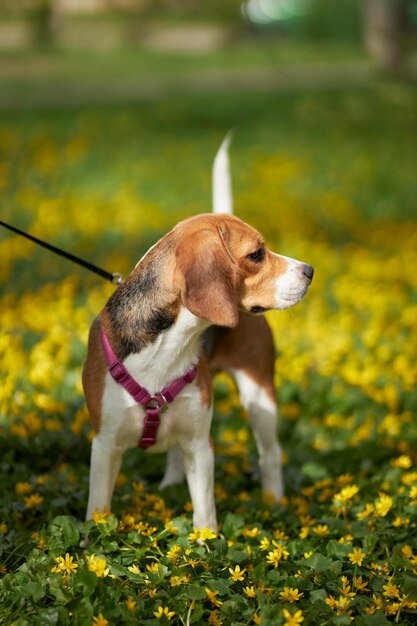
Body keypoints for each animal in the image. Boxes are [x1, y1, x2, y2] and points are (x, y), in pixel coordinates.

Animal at [83, 136, 312, 528]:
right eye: (256, 254)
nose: (309, 271)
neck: (164, 349)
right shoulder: (105, 446)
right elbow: (97, 512)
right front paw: (93, 540)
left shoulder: (202, 447)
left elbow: (205, 513)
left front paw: (206, 543)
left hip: (260, 396)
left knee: (270, 454)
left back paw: (275, 504)